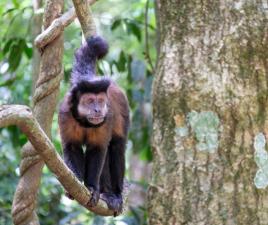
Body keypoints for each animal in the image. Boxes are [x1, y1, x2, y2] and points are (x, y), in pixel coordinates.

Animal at [58, 36, 130, 215]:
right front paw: (75, 184)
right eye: (90, 101)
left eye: (101, 101)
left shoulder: (106, 117)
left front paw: (91, 187)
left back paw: (113, 194)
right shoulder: (65, 113)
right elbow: (72, 147)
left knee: (116, 148)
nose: (98, 109)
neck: (85, 121)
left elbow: (98, 149)